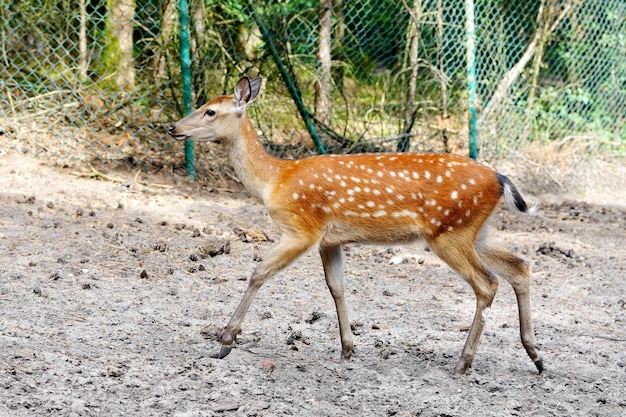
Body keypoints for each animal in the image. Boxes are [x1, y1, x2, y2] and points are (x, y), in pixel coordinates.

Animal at [167, 75, 540, 374]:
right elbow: (337, 288)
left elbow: (258, 273)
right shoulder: (330, 239)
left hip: (449, 231)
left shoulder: (303, 228)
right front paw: (347, 349)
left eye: (210, 111)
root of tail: (500, 178)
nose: (173, 127)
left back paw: (463, 362)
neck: (274, 181)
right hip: (474, 231)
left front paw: (225, 341)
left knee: (487, 283)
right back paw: (536, 356)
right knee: (519, 266)